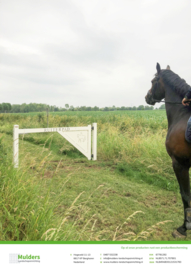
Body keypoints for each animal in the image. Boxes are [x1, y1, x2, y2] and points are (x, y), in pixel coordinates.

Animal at [145, 63, 191, 238]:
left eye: (153, 81)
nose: (147, 97)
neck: (182, 115)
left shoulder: (179, 164)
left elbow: (185, 195)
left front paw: (183, 228)